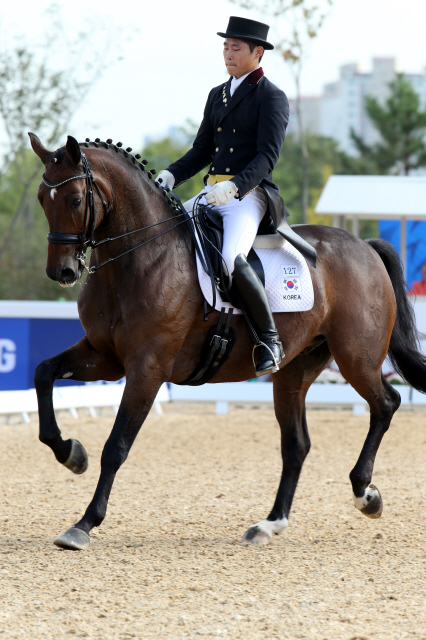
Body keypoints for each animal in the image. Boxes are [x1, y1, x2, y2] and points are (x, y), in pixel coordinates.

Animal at [29, 134, 426, 552]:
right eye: (42, 197)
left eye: (75, 200)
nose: (62, 271)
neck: (137, 257)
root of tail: (365, 246)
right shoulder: (105, 357)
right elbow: (43, 374)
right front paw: (71, 453)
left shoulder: (147, 368)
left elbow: (116, 446)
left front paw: (85, 523)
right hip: (295, 370)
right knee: (297, 444)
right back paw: (269, 524)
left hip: (356, 357)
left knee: (386, 403)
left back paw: (365, 493)